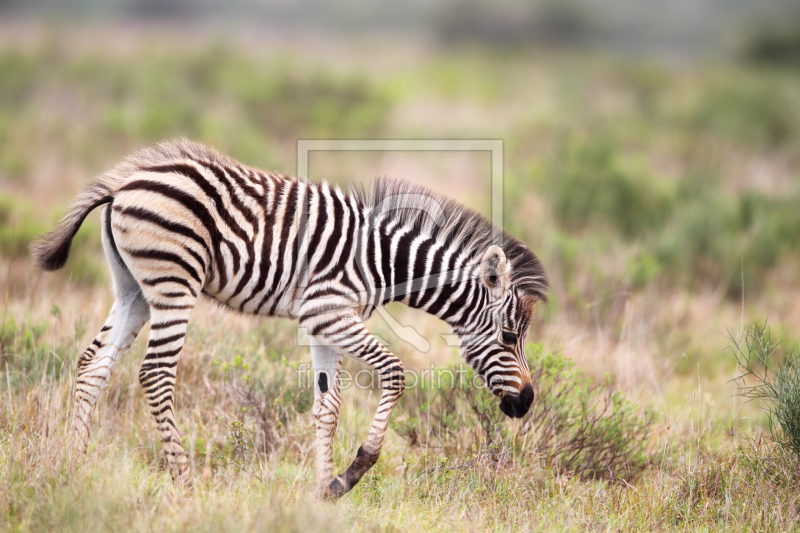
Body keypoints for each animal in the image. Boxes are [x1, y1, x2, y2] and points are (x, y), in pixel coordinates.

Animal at [34, 140, 548, 498]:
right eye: (508, 336)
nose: (526, 402)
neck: (382, 263)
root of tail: (124, 182)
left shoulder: (322, 324)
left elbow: (328, 406)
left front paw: (325, 490)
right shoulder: (330, 310)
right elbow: (395, 372)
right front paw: (355, 470)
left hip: (133, 289)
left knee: (93, 365)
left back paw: (72, 466)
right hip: (174, 282)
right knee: (156, 374)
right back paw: (185, 483)